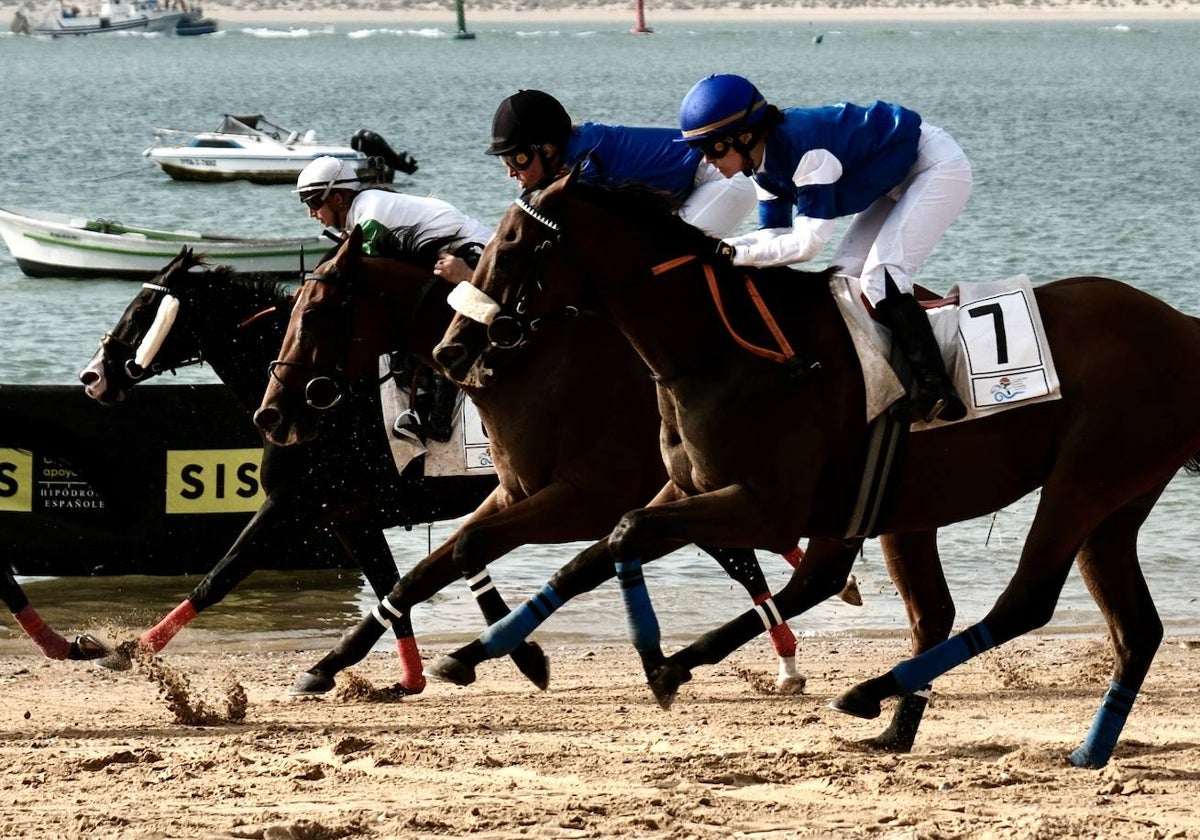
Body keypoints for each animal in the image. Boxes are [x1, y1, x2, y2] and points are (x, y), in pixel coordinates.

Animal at [75, 249, 506, 681]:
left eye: (141, 309)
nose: (91, 375)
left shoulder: (289, 503)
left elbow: (220, 576)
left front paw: (132, 648)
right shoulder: (349, 518)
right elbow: (390, 587)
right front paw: (408, 678)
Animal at [255, 226, 955, 753]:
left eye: (315, 313)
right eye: (289, 311)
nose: (272, 415)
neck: (526, 364)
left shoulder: (581, 500)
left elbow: (481, 554)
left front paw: (516, 656)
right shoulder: (520, 492)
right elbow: (425, 571)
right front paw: (328, 664)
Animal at [432, 170, 1200, 768]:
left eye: (512, 242)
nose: (452, 346)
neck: (723, 351)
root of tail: (1179, 325)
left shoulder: (762, 503)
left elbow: (624, 534)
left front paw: (656, 661)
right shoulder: (693, 487)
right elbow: (593, 555)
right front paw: (486, 649)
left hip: (1084, 479)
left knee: (1026, 600)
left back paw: (869, 693)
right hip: (1105, 502)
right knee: (1128, 628)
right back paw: (1076, 748)